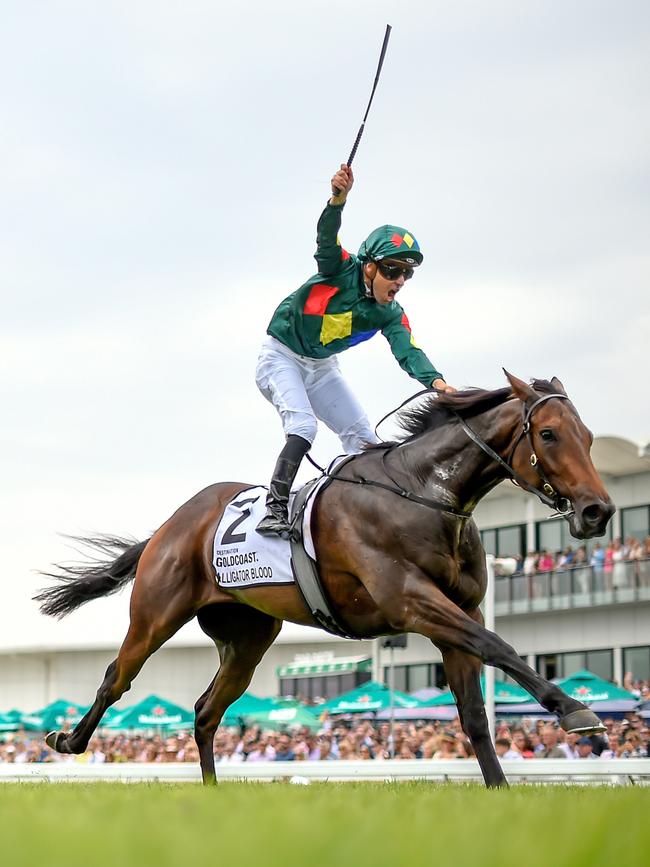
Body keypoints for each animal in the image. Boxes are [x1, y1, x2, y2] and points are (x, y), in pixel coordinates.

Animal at [35, 370, 612, 792]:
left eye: (587, 437)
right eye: (548, 434)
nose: (598, 511)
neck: (424, 494)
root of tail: (169, 526)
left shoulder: (458, 613)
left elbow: (473, 712)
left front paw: (500, 790)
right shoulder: (412, 602)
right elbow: (499, 645)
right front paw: (576, 711)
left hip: (247, 639)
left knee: (205, 711)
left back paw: (213, 792)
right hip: (156, 613)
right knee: (117, 677)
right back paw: (68, 741)